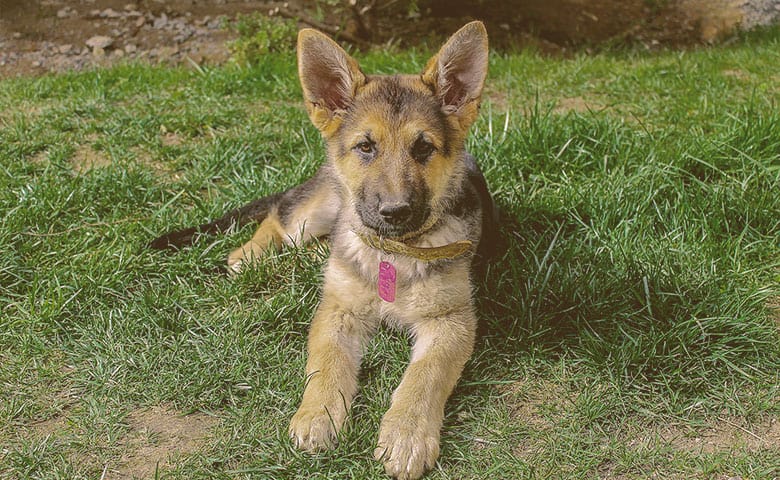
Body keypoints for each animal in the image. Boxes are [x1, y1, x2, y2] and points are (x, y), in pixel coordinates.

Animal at [149, 20, 496, 478]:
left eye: (424, 148)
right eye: (366, 146)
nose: (394, 212)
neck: (391, 252)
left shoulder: (451, 321)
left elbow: (424, 376)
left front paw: (406, 434)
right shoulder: (337, 310)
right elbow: (326, 364)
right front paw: (317, 415)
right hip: (315, 210)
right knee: (277, 216)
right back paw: (248, 255)